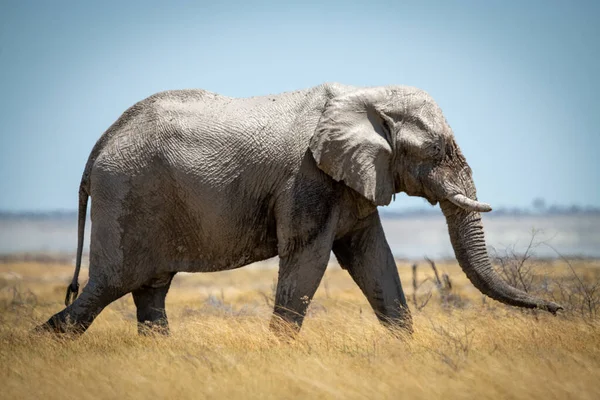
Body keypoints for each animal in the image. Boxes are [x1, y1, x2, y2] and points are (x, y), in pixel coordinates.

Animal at [37, 83, 564, 336]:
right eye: (438, 152)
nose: (559, 308)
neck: (366, 95)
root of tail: (100, 145)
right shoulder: (308, 179)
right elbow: (308, 260)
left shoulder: (350, 181)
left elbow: (374, 260)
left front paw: (407, 349)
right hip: (128, 195)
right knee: (110, 285)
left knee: (150, 291)